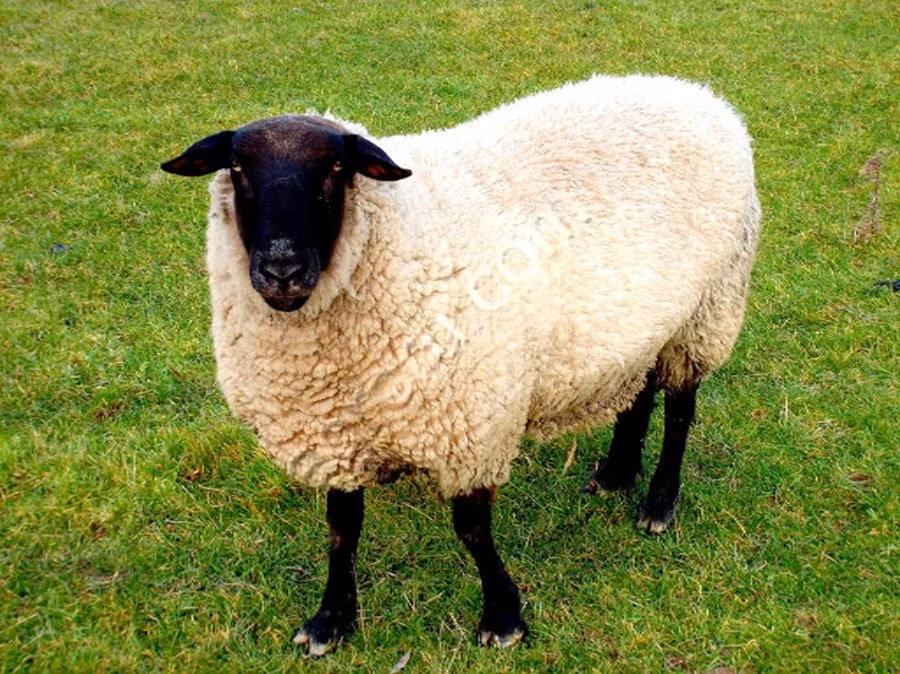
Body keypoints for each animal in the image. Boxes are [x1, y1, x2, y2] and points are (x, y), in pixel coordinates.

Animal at [160, 74, 761, 655]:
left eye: (335, 168)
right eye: (238, 167)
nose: (281, 270)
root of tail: (699, 95)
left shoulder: (472, 426)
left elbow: (472, 530)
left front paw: (503, 617)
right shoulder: (337, 434)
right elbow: (340, 530)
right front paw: (331, 620)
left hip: (706, 311)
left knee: (680, 410)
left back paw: (659, 502)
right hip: (635, 326)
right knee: (637, 394)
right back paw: (616, 472)